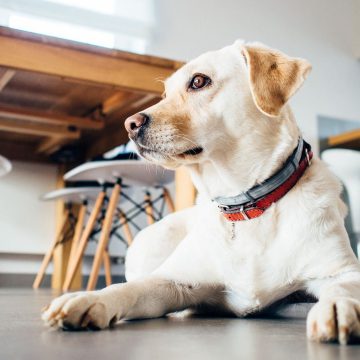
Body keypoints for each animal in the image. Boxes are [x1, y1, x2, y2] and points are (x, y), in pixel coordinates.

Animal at [42, 40, 360, 344]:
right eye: (164, 93)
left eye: (198, 81)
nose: (130, 125)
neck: (246, 205)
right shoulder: (171, 281)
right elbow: (129, 287)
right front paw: (89, 299)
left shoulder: (342, 270)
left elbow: (342, 286)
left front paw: (337, 306)